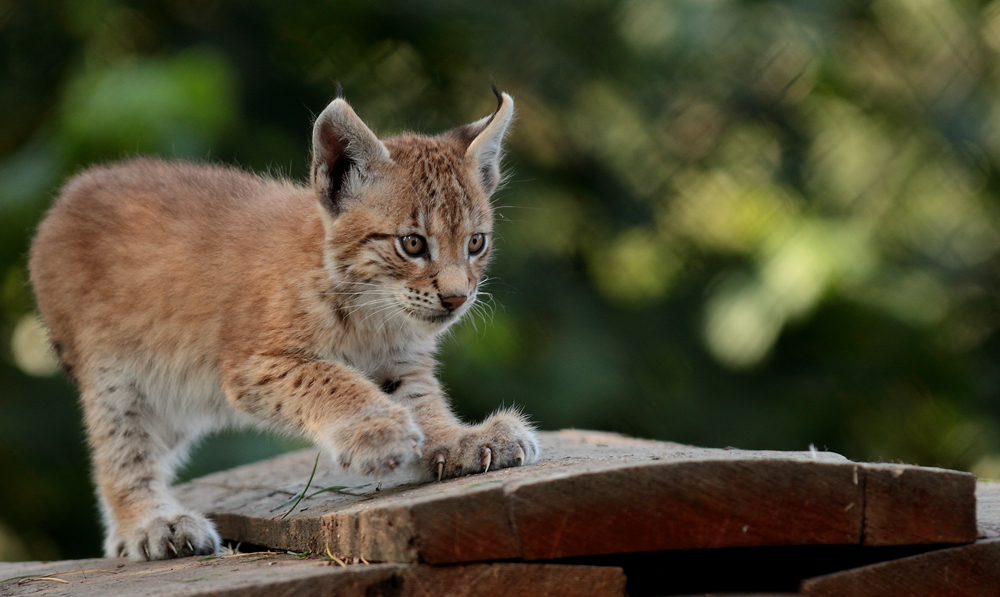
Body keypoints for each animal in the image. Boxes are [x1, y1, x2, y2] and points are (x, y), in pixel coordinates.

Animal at [29, 87, 540, 560]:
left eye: (476, 243)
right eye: (412, 244)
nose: (456, 299)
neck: (373, 313)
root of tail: (74, 189)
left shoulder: (398, 362)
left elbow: (423, 405)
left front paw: (464, 441)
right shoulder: (253, 363)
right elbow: (331, 379)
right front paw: (378, 433)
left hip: (174, 393)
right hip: (120, 376)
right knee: (121, 455)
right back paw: (152, 525)